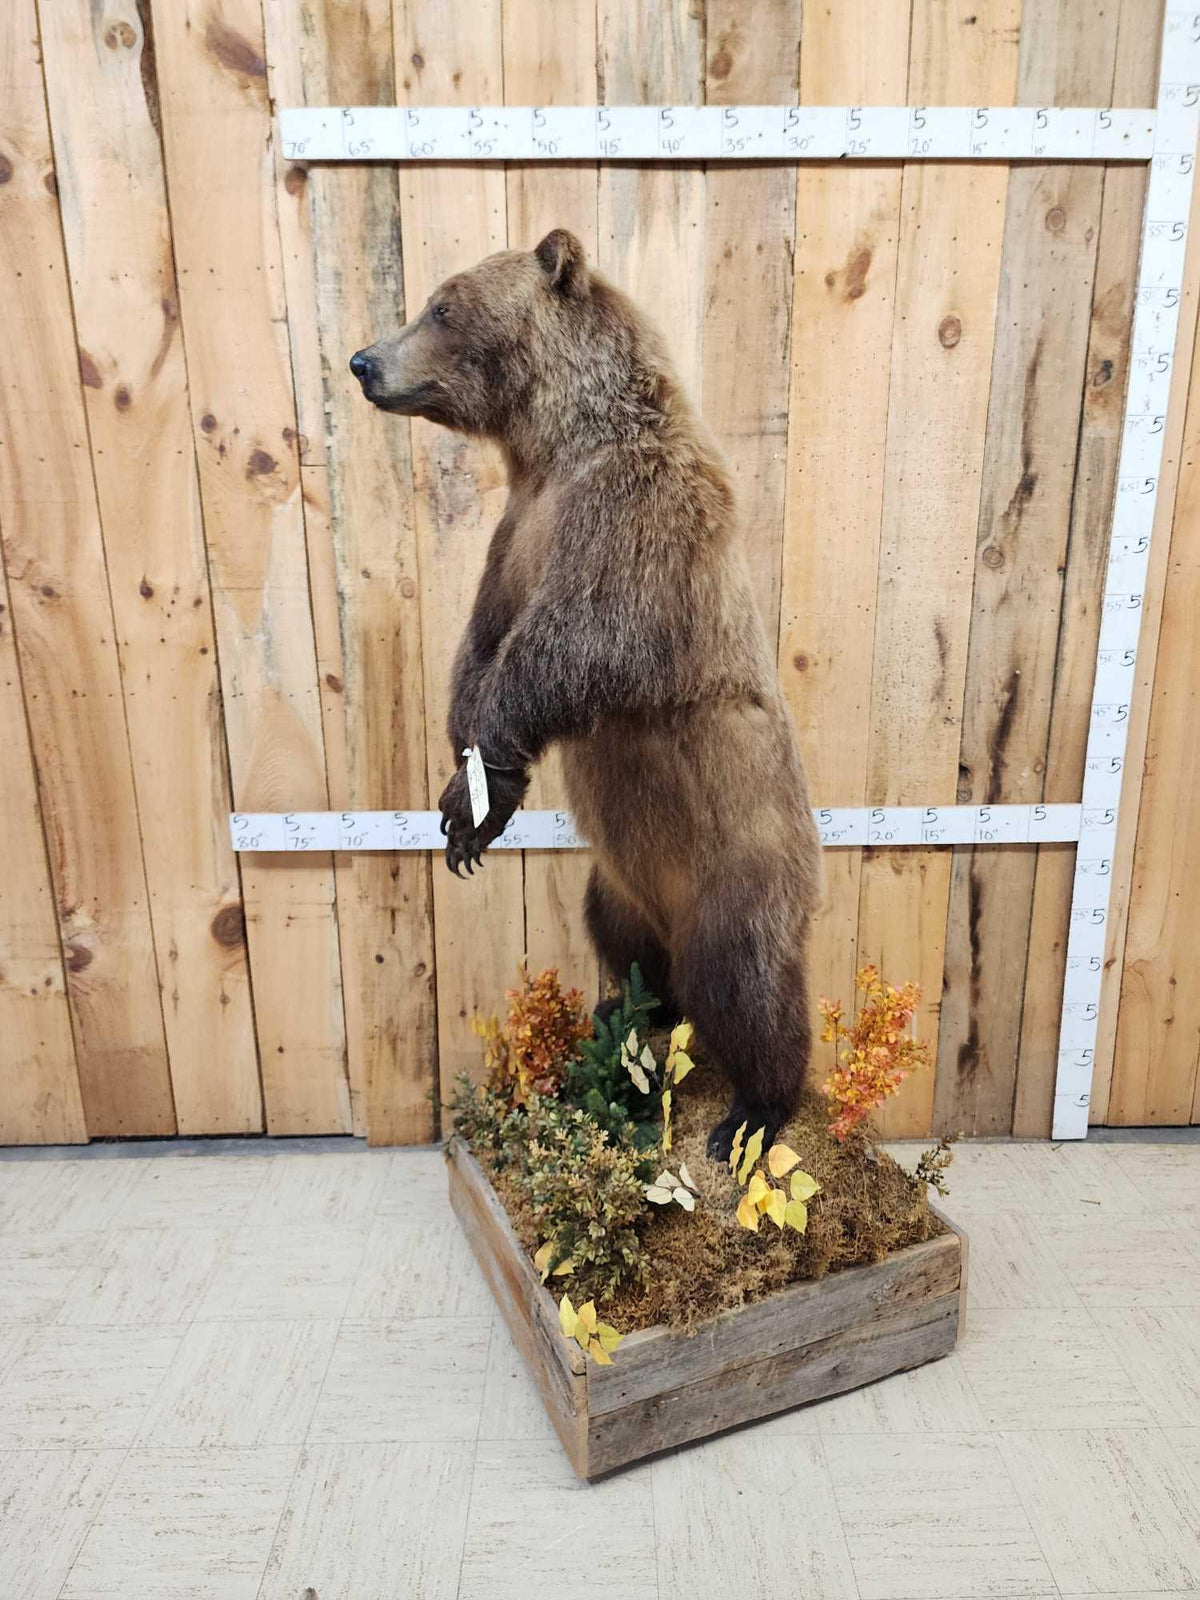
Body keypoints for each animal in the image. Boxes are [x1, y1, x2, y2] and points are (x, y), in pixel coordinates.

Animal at [349, 229, 822, 1160]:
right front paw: (474, 809)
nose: (363, 362)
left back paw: (753, 1109)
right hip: (620, 880)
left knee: (746, 984)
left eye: (443, 306)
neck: (553, 450)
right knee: (623, 940)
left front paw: (468, 798)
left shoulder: (637, 520)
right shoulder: (517, 535)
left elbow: (575, 644)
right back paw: (626, 1012)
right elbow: (482, 645)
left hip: (741, 867)